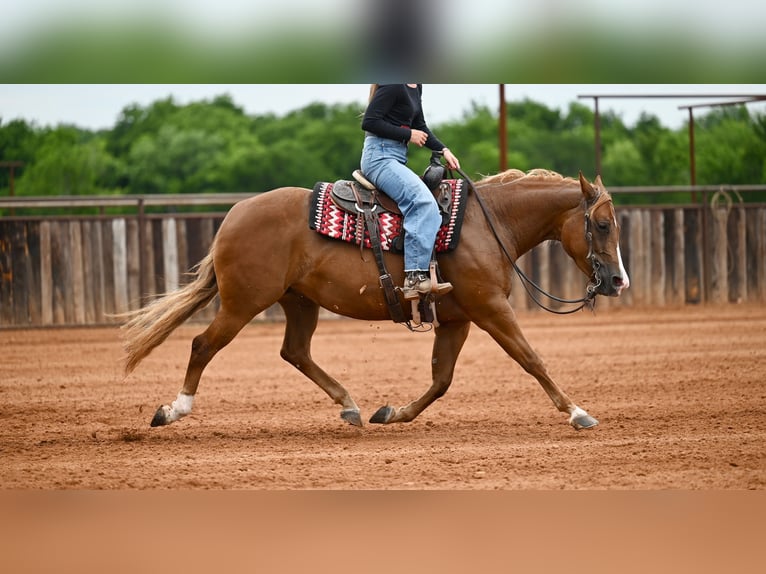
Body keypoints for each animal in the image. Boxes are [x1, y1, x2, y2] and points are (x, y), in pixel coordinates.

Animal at [121, 168, 629, 431]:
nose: (618, 281)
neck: (486, 223)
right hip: (243, 303)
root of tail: (234, 215)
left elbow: (441, 379)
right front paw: (578, 412)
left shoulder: (458, 318)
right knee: (203, 345)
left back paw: (350, 405)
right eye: (603, 225)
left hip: (298, 302)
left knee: (295, 351)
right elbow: (532, 359)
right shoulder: (490, 309)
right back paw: (173, 410)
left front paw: (393, 412)